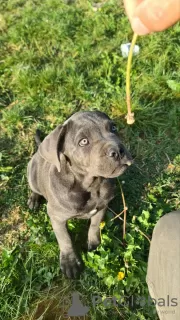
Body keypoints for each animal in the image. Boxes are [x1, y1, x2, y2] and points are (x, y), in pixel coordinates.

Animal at [27, 110, 133, 278]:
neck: (91, 185)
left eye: (113, 128)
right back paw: (33, 199)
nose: (118, 150)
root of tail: (38, 151)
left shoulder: (102, 206)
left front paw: (94, 243)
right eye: (83, 141)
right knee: (34, 188)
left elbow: (95, 225)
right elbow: (64, 239)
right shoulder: (56, 217)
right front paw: (70, 262)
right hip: (32, 173)